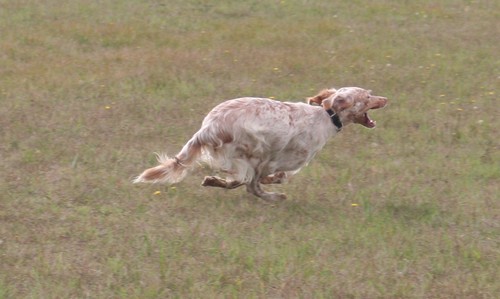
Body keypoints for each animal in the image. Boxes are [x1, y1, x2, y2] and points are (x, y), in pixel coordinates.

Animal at [135, 88, 388, 203]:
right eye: (367, 97)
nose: (386, 99)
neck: (326, 116)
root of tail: (209, 127)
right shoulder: (280, 160)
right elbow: (277, 177)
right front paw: (273, 184)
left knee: (242, 182)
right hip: (255, 152)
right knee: (249, 185)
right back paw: (274, 197)